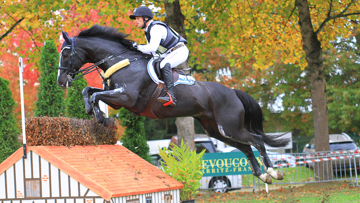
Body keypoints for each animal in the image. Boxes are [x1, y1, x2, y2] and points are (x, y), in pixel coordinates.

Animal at [57, 25, 292, 184]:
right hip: (216, 130)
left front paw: (99, 117)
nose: (60, 81)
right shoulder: (118, 98)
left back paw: (273, 172)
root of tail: (232, 92)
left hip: (230, 127)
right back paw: (262, 175)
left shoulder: (127, 98)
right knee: (246, 147)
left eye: (66, 53)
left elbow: (96, 95)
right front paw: (96, 114)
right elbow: (89, 92)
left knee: (257, 142)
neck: (121, 61)